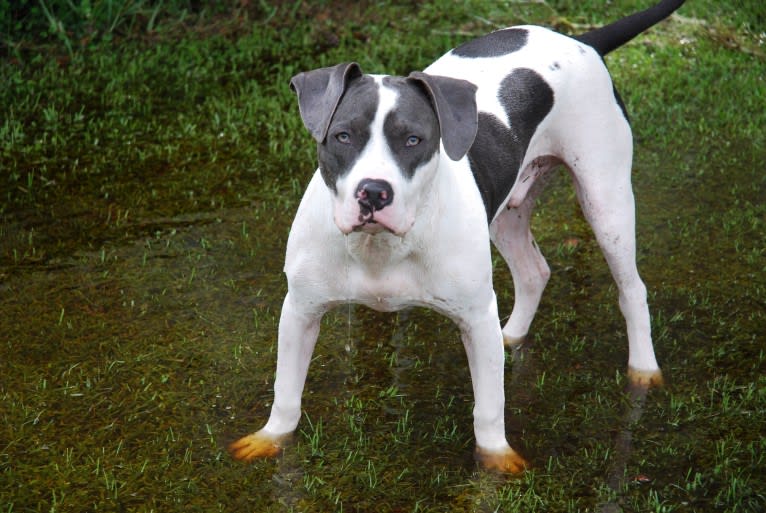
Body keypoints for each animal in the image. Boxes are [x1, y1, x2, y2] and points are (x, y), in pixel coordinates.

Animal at [231, 0, 688, 472]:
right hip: (507, 214)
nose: (374, 191)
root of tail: (582, 39)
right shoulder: (300, 310)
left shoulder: (475, 315)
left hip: (606, 200)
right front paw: (270, 437)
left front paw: (496, 457)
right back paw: (512, 336)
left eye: (414, 140)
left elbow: (489, 406)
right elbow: (285, 391)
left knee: (631, 289)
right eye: (343, 136)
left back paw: (644, 369)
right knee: (534, 272)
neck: (380, 246)